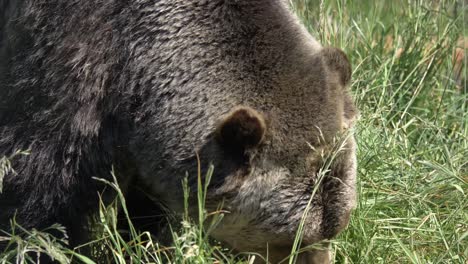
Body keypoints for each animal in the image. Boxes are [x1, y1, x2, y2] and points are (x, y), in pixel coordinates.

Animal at [0, 1, 358, 262]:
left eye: (335, 228)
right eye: (291, 239)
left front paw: (144, 241)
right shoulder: (63, 68)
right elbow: (39, 192)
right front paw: (39, 247)